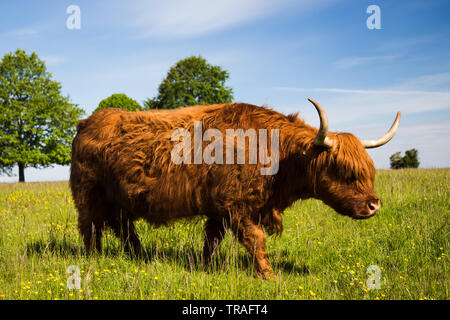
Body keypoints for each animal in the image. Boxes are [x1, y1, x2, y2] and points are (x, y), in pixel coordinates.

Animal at [70, 99, 400, 278]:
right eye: (344, 170)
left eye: (369, 171)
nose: (374, 204)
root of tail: (88, 121)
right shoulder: (237, 206)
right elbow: (256, 240)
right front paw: (269, 275)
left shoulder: (219, 210)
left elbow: (211, 241)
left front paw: (204, 267)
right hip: (88, 195)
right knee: (90, 228)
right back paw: (94, 258)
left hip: (119, 199)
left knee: (123, 227)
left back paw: (139, 257)